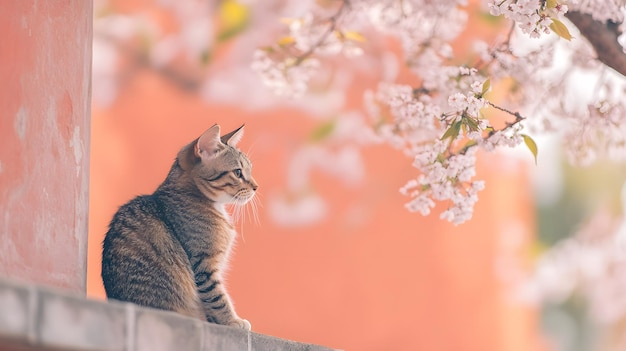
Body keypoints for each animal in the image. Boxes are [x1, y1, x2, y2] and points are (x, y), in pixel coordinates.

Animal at [101, 125, 258, 332]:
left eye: (249, 170)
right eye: (238, 172)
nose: (256, 187)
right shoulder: (203, 264)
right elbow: (217, 298)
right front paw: (232, 321)